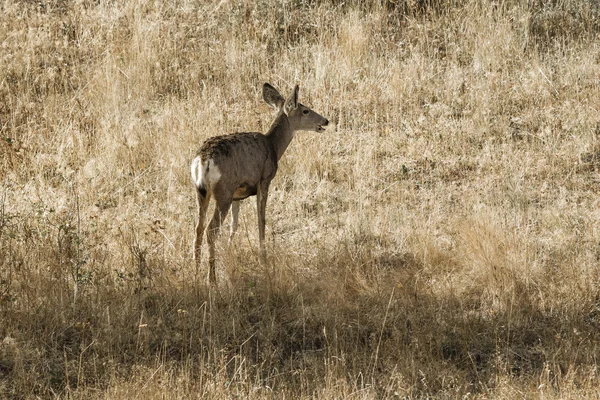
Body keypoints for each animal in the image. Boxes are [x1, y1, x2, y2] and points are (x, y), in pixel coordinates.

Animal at [191, 83, 328, 282]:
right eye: (306, 110)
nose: (326, 121)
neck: (274, 146)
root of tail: (203, 159)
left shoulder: (237, 196)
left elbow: (234, 225)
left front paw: (230, 251)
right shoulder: (264, 181)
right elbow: (261, 219)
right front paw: (264, 257)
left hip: (202, 191)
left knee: (198, 227)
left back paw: (196, 269)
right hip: (223, 191)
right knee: (211, 230)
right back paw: (212, 278)